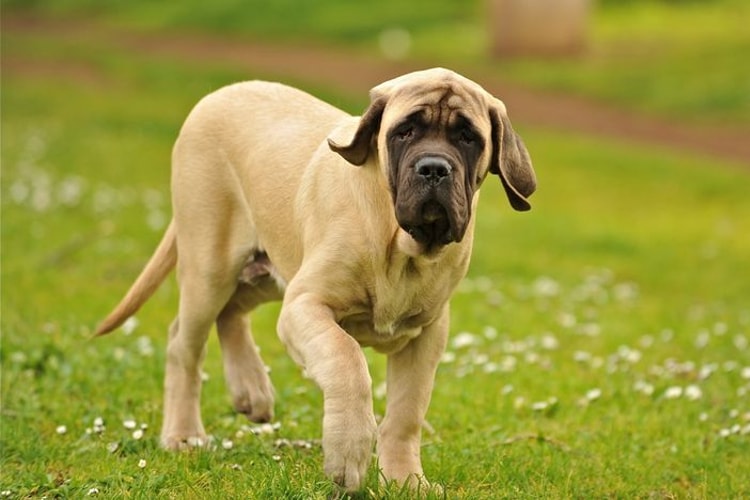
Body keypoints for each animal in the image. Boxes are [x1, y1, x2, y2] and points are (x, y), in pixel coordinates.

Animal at [97, 67, 536, 492]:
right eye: (404, 132)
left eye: (467, 137)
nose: (433, 168)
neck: (399, 246)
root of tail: (215, 95)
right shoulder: (305, 305)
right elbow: (347, 359)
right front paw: (349, 453)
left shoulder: (427, 333)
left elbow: (406, 413)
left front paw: (406, 479)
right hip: (211, 267)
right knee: (183, 344)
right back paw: (184, 434)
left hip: (269, 271)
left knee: (231, 312)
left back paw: (250, 389)